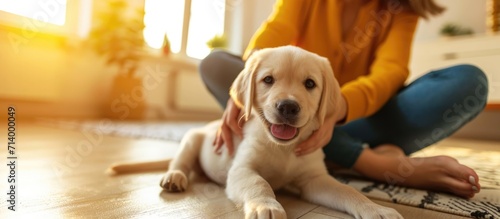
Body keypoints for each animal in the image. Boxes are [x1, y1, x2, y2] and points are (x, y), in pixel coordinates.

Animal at [109, 45, 402, 218]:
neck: (283, 148)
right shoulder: (242, 169)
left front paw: (376, 209)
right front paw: (267, 206)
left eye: (310, 84)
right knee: (179, 162)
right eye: (268, 80)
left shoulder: (315, 179)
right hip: (191, 139)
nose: (287, 106)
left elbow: (350, 192)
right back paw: (174, 177)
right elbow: (259, 183)